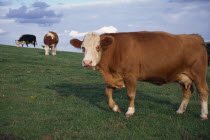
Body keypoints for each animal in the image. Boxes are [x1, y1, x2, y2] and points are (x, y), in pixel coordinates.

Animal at [70, 31, 208, 120]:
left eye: (98, 47)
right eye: (83, 48)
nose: (87, 62)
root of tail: (196, 37)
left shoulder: (130, 76)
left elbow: (130, 95)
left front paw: (130, 111)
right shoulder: (118, 78)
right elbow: (107, 91)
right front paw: (115, 108)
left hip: (198, 74)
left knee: (203, 91)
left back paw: (204, 114)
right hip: (182, 76)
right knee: (187, 92)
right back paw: (180, 110)